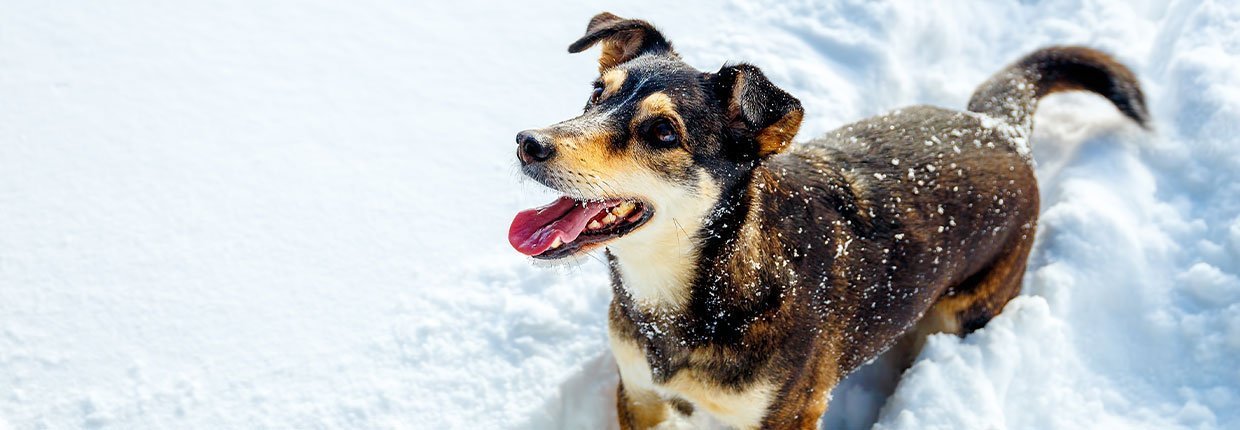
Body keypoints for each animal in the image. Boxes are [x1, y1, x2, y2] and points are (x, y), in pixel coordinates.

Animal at [508, 12, 1145, 430]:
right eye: (597, 92)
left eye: (663, 132)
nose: (528, 142)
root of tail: (997, 127)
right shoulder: (638, 395)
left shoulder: (785, 416)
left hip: (965, 310)